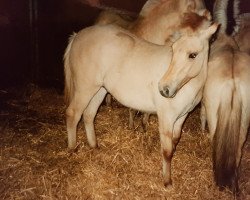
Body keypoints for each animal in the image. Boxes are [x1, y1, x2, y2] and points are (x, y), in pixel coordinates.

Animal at [64, 12, 217, 188]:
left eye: (193, 55)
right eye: (173, 50)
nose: (164, 89)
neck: (187, 86)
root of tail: (77, 36)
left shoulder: (181, 117)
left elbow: (174, 142)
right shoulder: (166, 118)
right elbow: (167, 151)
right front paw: (167, 182)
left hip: (99, 90)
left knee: (89, 115)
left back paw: (94, 146)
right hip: (85, 88)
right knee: (73, 114)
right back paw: (72, 149)